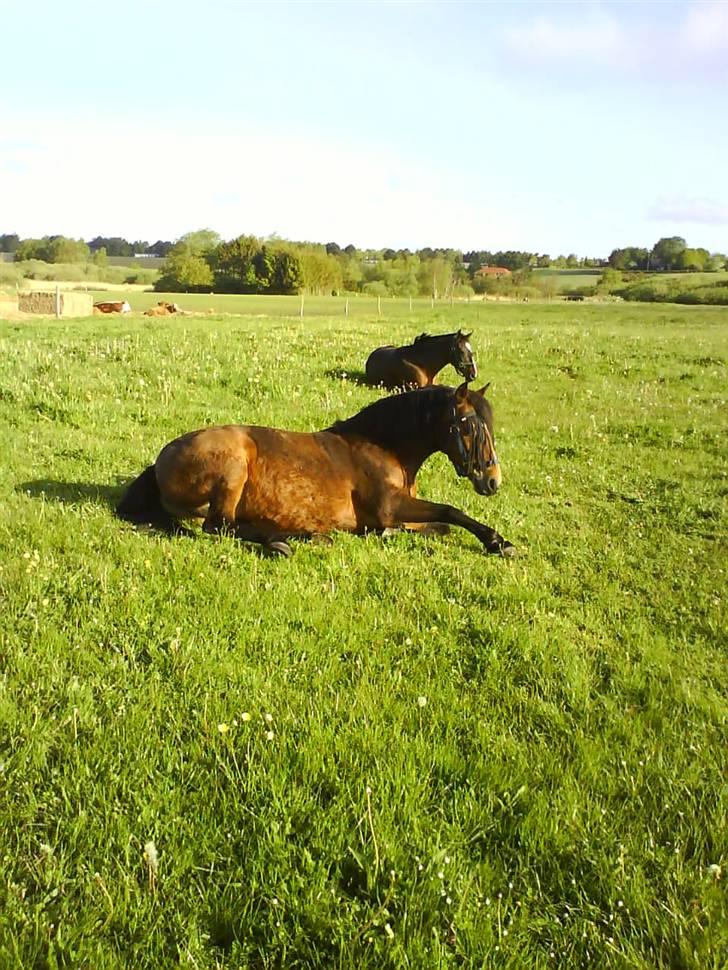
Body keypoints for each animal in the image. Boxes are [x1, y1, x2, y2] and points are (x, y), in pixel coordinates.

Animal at [115, 382, 512, 556]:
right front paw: (498, 542)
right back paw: (282, 541)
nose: (492, 480)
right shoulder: (391, 506)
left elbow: (440, 526)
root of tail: (161, 460)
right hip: (234, 467)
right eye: (469, 426)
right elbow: (450, 511)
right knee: (221, 525)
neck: (383, 447)